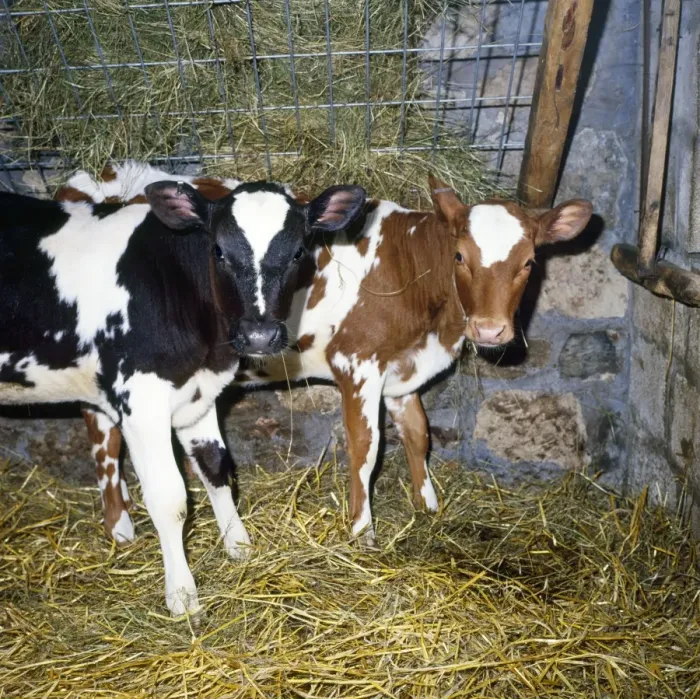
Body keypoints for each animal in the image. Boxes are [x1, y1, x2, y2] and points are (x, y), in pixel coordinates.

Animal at [0, 169, 367, 615]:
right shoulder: (141, 402)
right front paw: (182, 593)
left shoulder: (198, 394)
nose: (259, 336)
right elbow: (169, 499)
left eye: (299, 251)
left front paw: (238, 545)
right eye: (218, 250)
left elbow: (217, 468)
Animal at [67, 165, 593, 547]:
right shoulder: (356, 363)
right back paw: (119, 526)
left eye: (530, 262)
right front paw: (362, 530)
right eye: (461, 256)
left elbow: (419, 434)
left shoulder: (401, 371)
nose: (489, 328)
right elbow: (366, 448)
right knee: (102, 433)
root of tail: (100, 178)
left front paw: (428, 505)